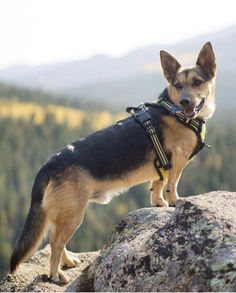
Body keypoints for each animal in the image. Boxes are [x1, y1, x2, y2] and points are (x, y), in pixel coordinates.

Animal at [9, 41, 216, 282]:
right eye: (177, 85)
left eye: (197, 82)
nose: (185, 101)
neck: (174, 110)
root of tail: (49, 164)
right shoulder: (179, 158)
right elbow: (172, 183)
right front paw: (174, 201)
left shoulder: (163, 166)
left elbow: (158, 183)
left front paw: (158, 202)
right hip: (73, 214)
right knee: (56, 242)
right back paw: (55, 274)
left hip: (64, 213)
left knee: (54, 239)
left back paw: (67, 261)